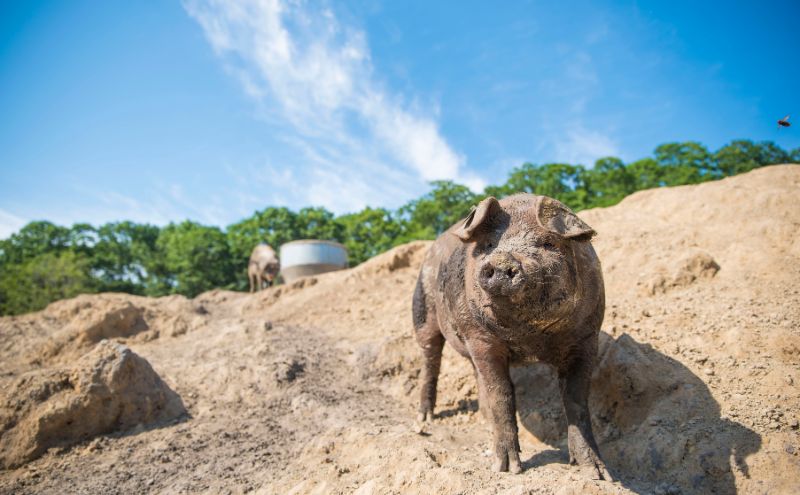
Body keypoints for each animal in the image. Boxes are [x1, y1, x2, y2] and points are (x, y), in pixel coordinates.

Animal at [412, 195, 612, 480]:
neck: (530, 337)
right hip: (423, 310)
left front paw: (598, 473)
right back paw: (424, 418)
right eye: (488, 245)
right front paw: (508, 469)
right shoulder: (481, 339)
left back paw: (482, 418)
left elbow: (576, 400)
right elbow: (502, 394)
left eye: (547, 243)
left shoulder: (587, 337)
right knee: (431, 360)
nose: (502, 260)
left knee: (475, 373)